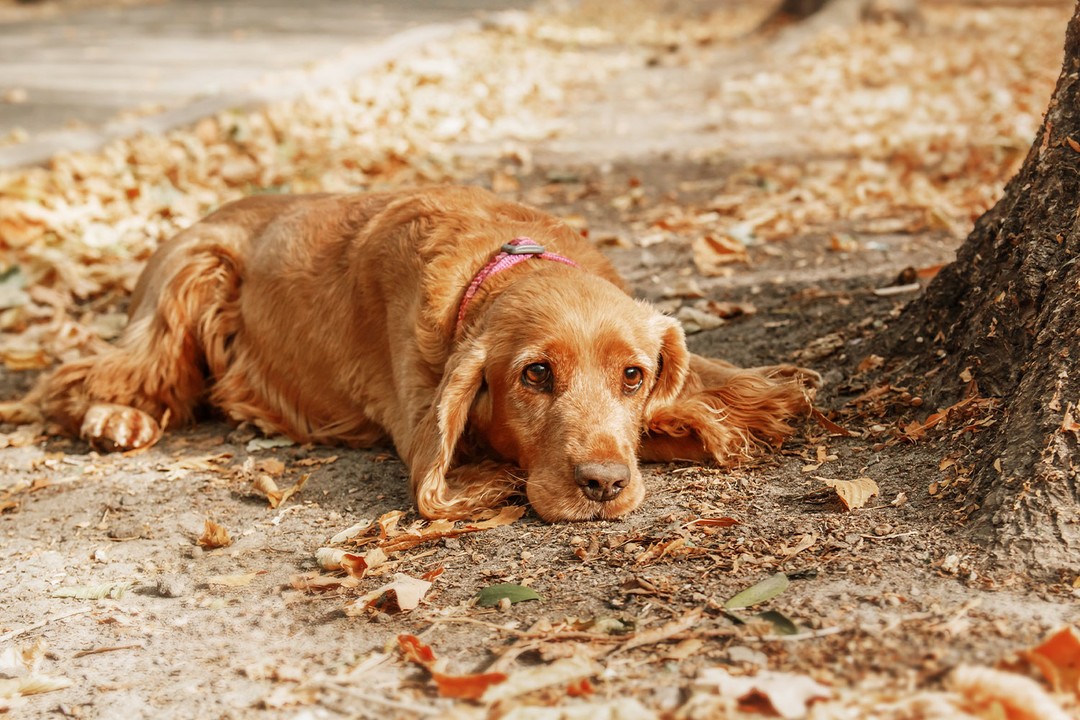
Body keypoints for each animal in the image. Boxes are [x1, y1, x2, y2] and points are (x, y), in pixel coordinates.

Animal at [25, 185, 816, 520]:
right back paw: (115, 418)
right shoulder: (416, 419)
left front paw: (743, 406)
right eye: (535, 374)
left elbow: (703, 383)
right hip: (192, 274)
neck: (503, 259)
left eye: (633, 375)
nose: (603, 485)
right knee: (81, 375)